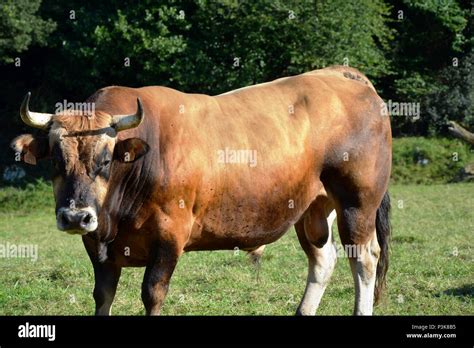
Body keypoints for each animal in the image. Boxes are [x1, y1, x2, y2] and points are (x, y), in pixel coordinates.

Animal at [12, 66, 392, 316]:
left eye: (106, 160)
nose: (76, 216)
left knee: (364, 258)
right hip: (313, 208)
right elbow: (102, 295)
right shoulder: (97, 245)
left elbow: (152, 293)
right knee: (324, 259)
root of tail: (340, 73)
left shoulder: (170, 235)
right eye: (55, 159)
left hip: (357, 202)